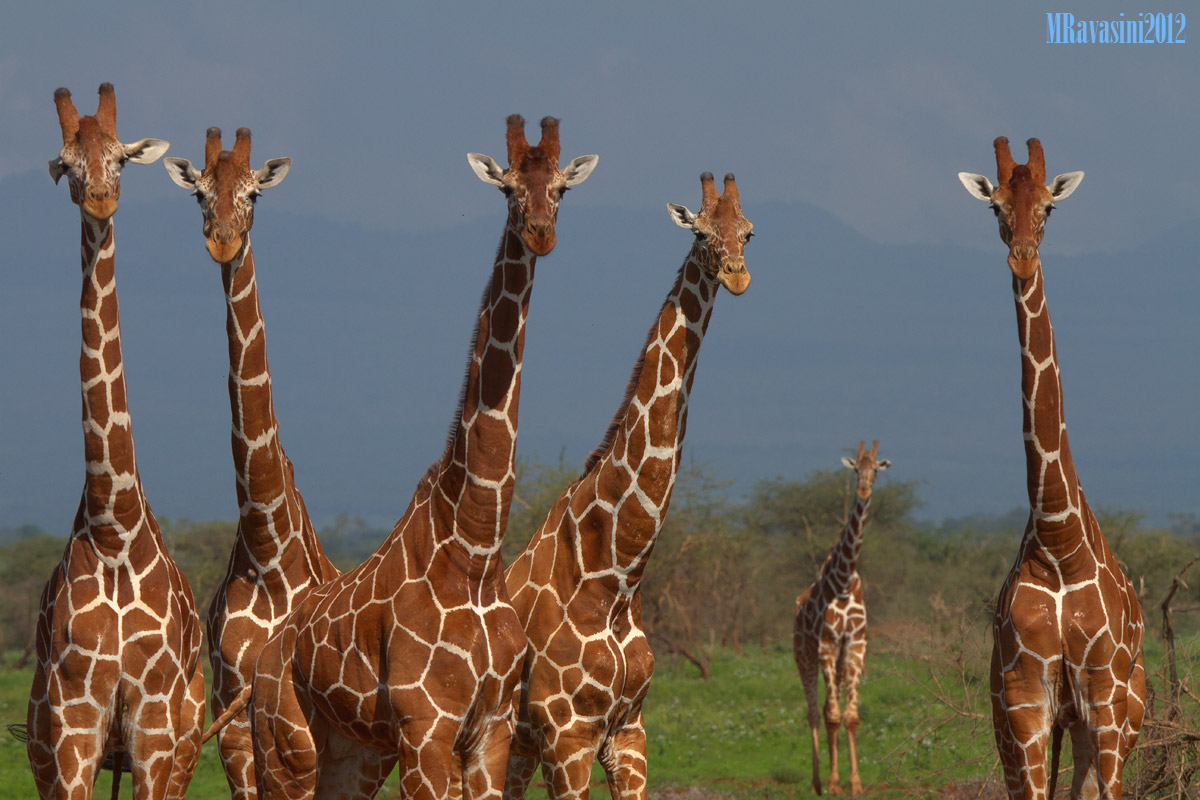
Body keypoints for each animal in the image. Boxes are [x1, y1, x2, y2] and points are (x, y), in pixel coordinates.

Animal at [247, 114, 597, 800]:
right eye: (508, 189)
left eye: (561, 190)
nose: (540, 233)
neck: (474, 553)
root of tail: (265, 662)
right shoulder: (425, 730)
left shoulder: (490, 732)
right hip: (285, 751)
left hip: (350, 755)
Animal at [502, 171, 752, 800]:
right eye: (702, 233)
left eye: (748, 232)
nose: (737, 275)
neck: (614, 575)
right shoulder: (567, 736)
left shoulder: (629, 731)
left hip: (512, 746)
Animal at [793, 440, 889, 797]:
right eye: (854, 469)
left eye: (876, 470)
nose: (863, 490)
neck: (845, 582)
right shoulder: (826, 644)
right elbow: (834, 716)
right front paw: (835, 784)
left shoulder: (856, 645)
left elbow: (851, 717)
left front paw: (855, 783)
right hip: (805, 655)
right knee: (813, 713)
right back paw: (817, 781)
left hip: (837, 660)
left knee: (824, 708)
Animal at [958, 138, 1145, 799]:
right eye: (995, 208)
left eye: (1048, 208)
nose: (1021, 257)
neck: (1058, 537)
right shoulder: (1024, 699)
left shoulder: (1103, 697)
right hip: (1020, 718)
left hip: (1123, 712)